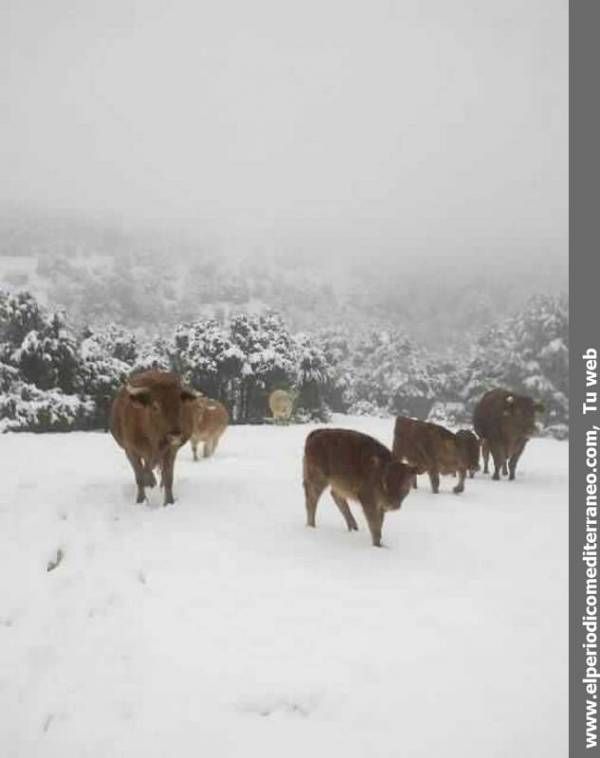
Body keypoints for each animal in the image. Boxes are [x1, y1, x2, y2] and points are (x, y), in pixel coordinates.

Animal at [109, 372, 198, 508]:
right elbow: (139, 477)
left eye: (179, 405)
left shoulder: (171, 451)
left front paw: (169, 502)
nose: (175, 433)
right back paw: (150, 481)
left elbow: (168, 477)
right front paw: (140, 500)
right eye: (155, 406)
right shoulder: (130, 451)